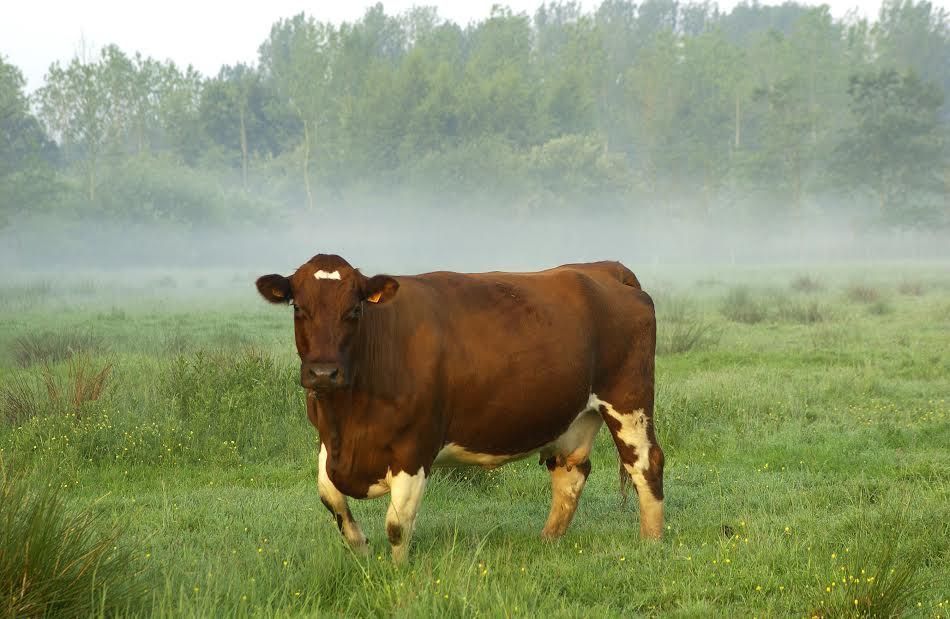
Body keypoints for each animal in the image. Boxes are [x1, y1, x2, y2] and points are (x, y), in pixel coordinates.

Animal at [256, 254, 664, 564]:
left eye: (354, 310)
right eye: (299, 308)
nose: (323, 372)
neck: (350, 416)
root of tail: (603, 269)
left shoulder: (415, 445)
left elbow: (397, 524)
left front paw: (396, 573)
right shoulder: (327, 440)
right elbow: (331, 499)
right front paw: (361, 551)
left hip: (628, 401)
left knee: (646, 464)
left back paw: (651, 543)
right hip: (575, 418)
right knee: (570, 473)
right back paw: (547, 541)